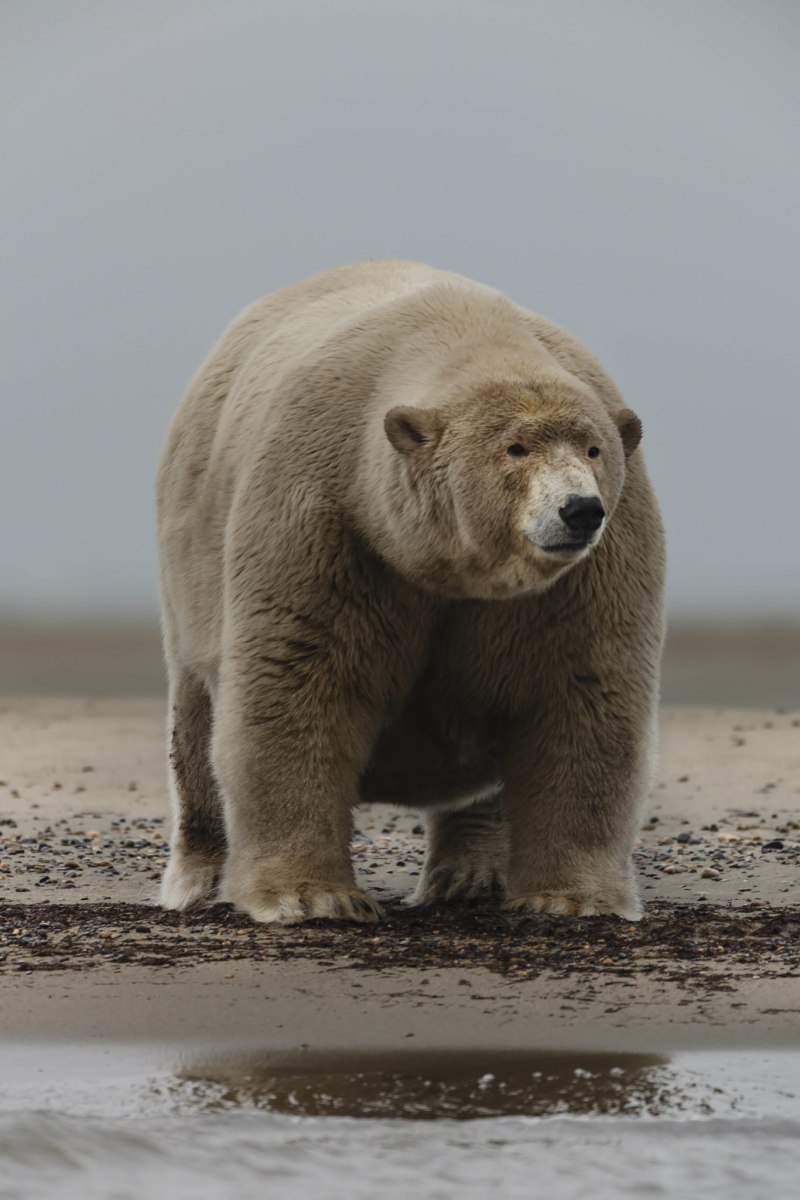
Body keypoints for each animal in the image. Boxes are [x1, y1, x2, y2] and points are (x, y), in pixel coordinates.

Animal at [156, 259, 665, 925]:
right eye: (515, 448)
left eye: (593, 448)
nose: (580, 509)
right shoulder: (329, 517)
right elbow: (300, 682)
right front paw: (310, 895)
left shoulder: (585, 574)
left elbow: (582, 693)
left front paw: (570, 897)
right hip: (190, 562)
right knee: (195, 715)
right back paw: (195, 878)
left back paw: (470, 874)